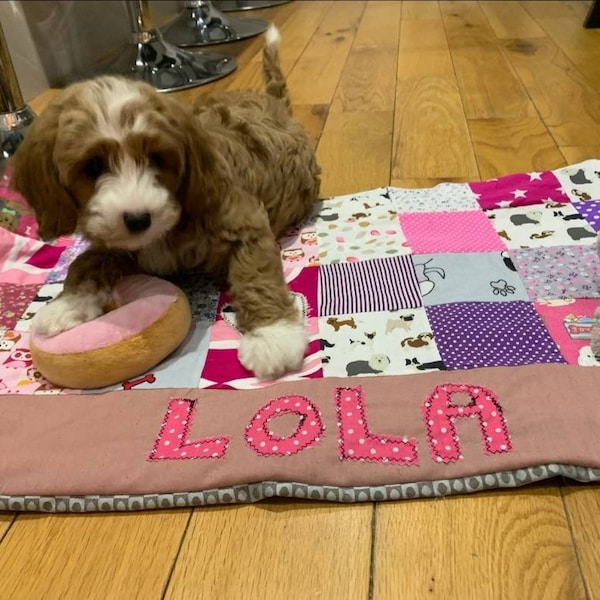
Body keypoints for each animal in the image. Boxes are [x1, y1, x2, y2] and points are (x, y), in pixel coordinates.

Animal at [10, 27, 318, 380]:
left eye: (156, 158)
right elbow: (86, 260)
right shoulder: (120, 243)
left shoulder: (244, 221)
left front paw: (272, 335)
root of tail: (277, 108)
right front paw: (65, 305)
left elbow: (256, 273)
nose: (138, 219)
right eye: (93, 167)